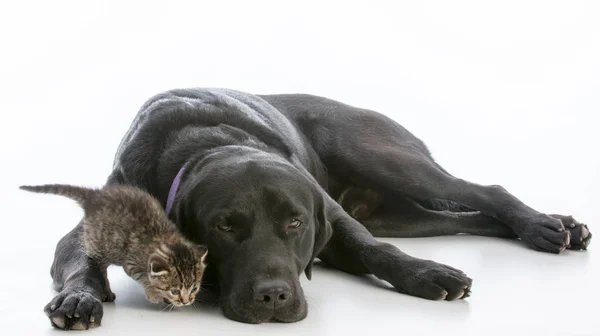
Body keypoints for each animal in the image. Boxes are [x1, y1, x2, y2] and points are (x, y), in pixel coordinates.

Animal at [19, 184, 207, 308]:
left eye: (195, 288)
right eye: (174, 291)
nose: (186, 301)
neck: (165, 239)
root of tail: (94, 196)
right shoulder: (132, 262)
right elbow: (143, 276)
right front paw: (154, 294)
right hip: (99, 246)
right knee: (101, 270)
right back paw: (107, 291)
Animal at [42, 88, 592, 330]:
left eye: (295, 222)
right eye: (224, 227)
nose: (273, 298)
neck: (205, 142)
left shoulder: (333, 218)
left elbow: (372, 249)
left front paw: (425, 274)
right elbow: (80, 260)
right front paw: (79, 298)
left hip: (384, 157)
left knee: (484, 191)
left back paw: (545, 225)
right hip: (404, 214)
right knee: (468, 216)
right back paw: (556, 227)